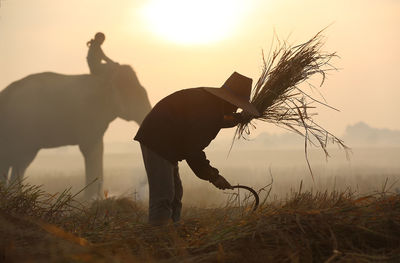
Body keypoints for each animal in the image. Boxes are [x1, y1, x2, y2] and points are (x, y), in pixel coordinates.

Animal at [0, 66, 152, 200]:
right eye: (139, 95)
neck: (103, 80)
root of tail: (6, 93)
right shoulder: (90, 118)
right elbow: (91, 149)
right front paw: (91, 199)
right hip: (22, 127)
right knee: (17, 160)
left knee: (14, 161)